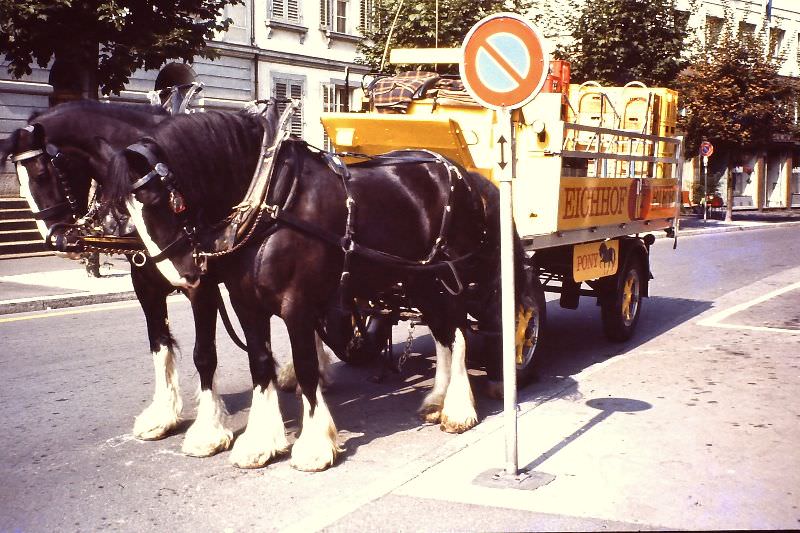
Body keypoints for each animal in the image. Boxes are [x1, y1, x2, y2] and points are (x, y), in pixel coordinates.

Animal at [0, 101, 330, 458]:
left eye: (42, 173)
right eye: (19, 182)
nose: (60, 240)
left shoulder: (201, 286)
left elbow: (204, 353)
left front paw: (208, 430)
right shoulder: (145, 285)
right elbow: (158, 343)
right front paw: (163, 414)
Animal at [106, 103, 528, 470]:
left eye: (162, 200)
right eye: (125, 209)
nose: (181, 276)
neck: (269, 202)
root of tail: (465, 176)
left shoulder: (296, 304)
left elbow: (307, 366)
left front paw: (313, 446)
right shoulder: (246, 304)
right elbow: (260, 363)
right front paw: (261, 442)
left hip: (448, 280)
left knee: (457, 334)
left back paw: (458, 409)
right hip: (418, 281)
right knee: (443, 335)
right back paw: (438, 399)